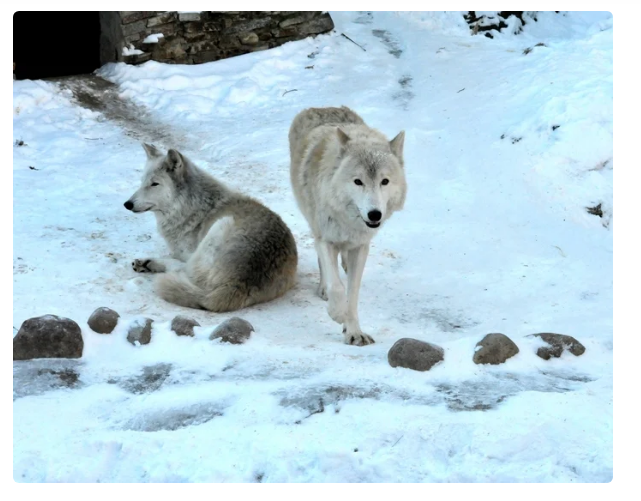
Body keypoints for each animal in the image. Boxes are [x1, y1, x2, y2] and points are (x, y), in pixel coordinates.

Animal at [124, 143, 298, 310]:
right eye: (142, 182)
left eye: (155, 184)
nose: (127, 204)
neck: (190, 205)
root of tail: (237, 284)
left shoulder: (186, 252)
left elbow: (176, 260)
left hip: (219, 226)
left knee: (183, 269)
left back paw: (148, 263)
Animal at [288, 105, 404, 346]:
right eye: (358, 181)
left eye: (385, 181)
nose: (374, 214)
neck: (349, 222)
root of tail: (322, 107)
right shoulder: (326, 239)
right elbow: (338, 287)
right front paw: (337, 313)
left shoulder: (360, 247)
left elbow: (353, 293)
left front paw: (353, 332)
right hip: (313, 222)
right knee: (324, 265)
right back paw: (324, 289)